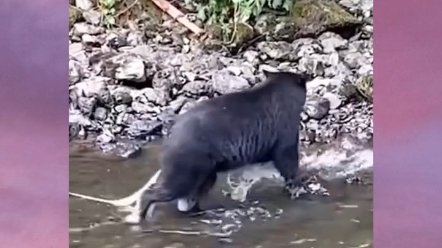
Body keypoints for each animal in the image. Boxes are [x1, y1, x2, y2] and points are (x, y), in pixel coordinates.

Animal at [138, 70, 308, 219]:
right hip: (189, 158)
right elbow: (286, 156)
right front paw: (297, 185)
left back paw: (198, 211)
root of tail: (172, 130)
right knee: (176, 185)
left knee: (196, 190)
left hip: (206, 167)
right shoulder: (283, 126)